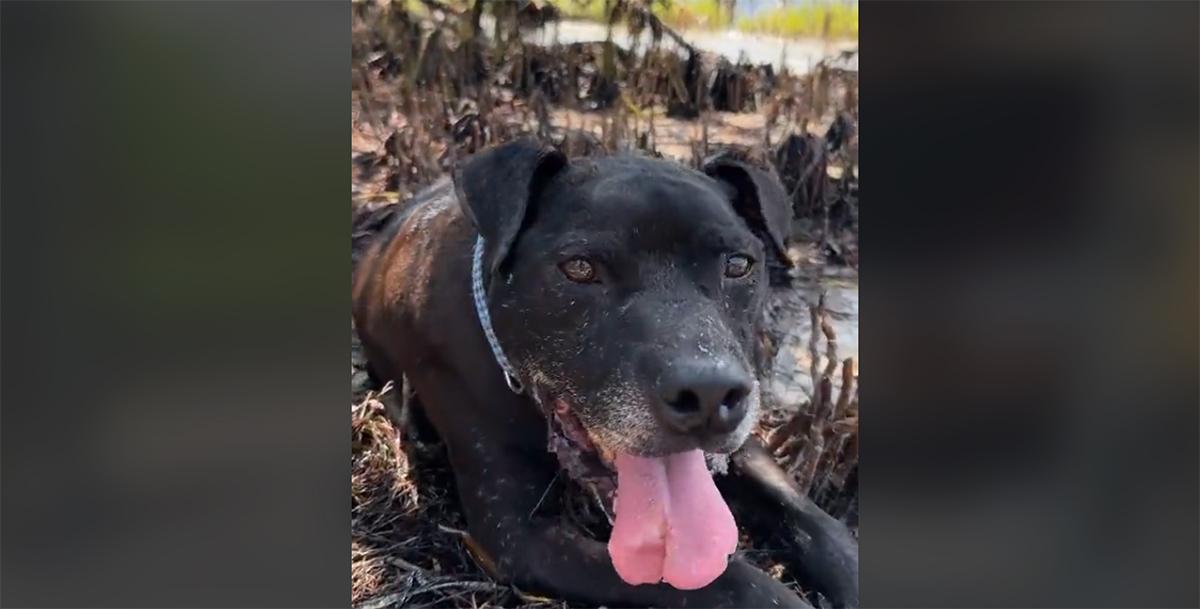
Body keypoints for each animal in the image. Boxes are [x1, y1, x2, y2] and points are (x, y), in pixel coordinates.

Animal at [350, 139, 859, 609]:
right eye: (579, 268)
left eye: (738, 265)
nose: (709, 394)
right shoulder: (517, 535)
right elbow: (734, 583)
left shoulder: (744, 442)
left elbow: (815, 521)